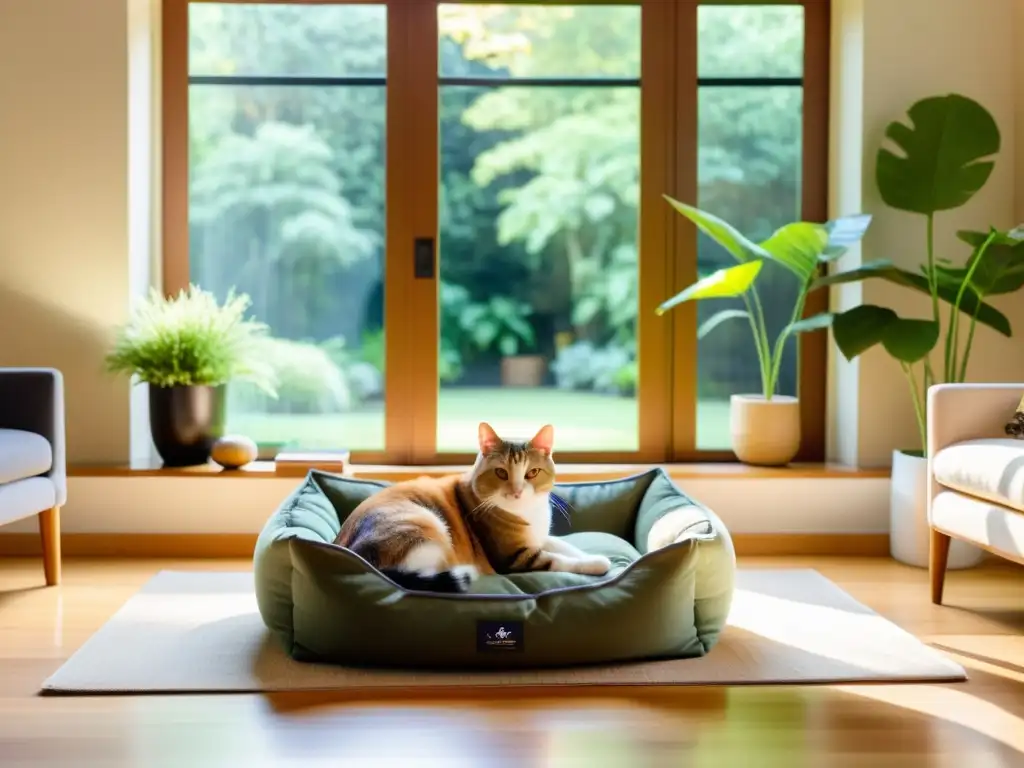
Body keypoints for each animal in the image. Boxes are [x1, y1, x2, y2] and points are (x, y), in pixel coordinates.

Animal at [331, 421, 610, 593]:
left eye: (532, 472)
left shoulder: (541, 538)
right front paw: (597, 564)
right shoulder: (514, 558)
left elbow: (565, 546)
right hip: (423, 526)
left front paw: (591, 555)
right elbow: (556, 560)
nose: (517, 491)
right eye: (501, 472)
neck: (527, 513)